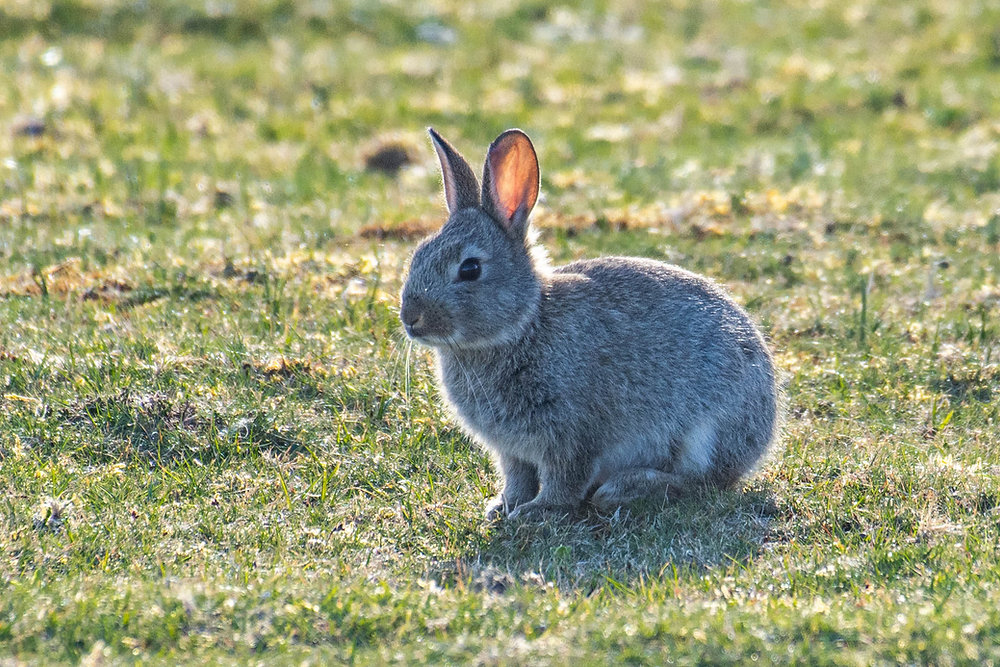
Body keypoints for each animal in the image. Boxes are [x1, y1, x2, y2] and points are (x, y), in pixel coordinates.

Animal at [400, 128, 779, 521]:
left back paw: (624, 489)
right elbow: (517, 477)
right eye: (418, 254)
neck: (522, 325)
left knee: (701, 483)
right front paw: (503, 507)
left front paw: (538, 512)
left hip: (706, 431)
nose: (411, 318)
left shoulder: (573, 434)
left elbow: (565, 478)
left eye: (470, 268)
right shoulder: (513, 451)